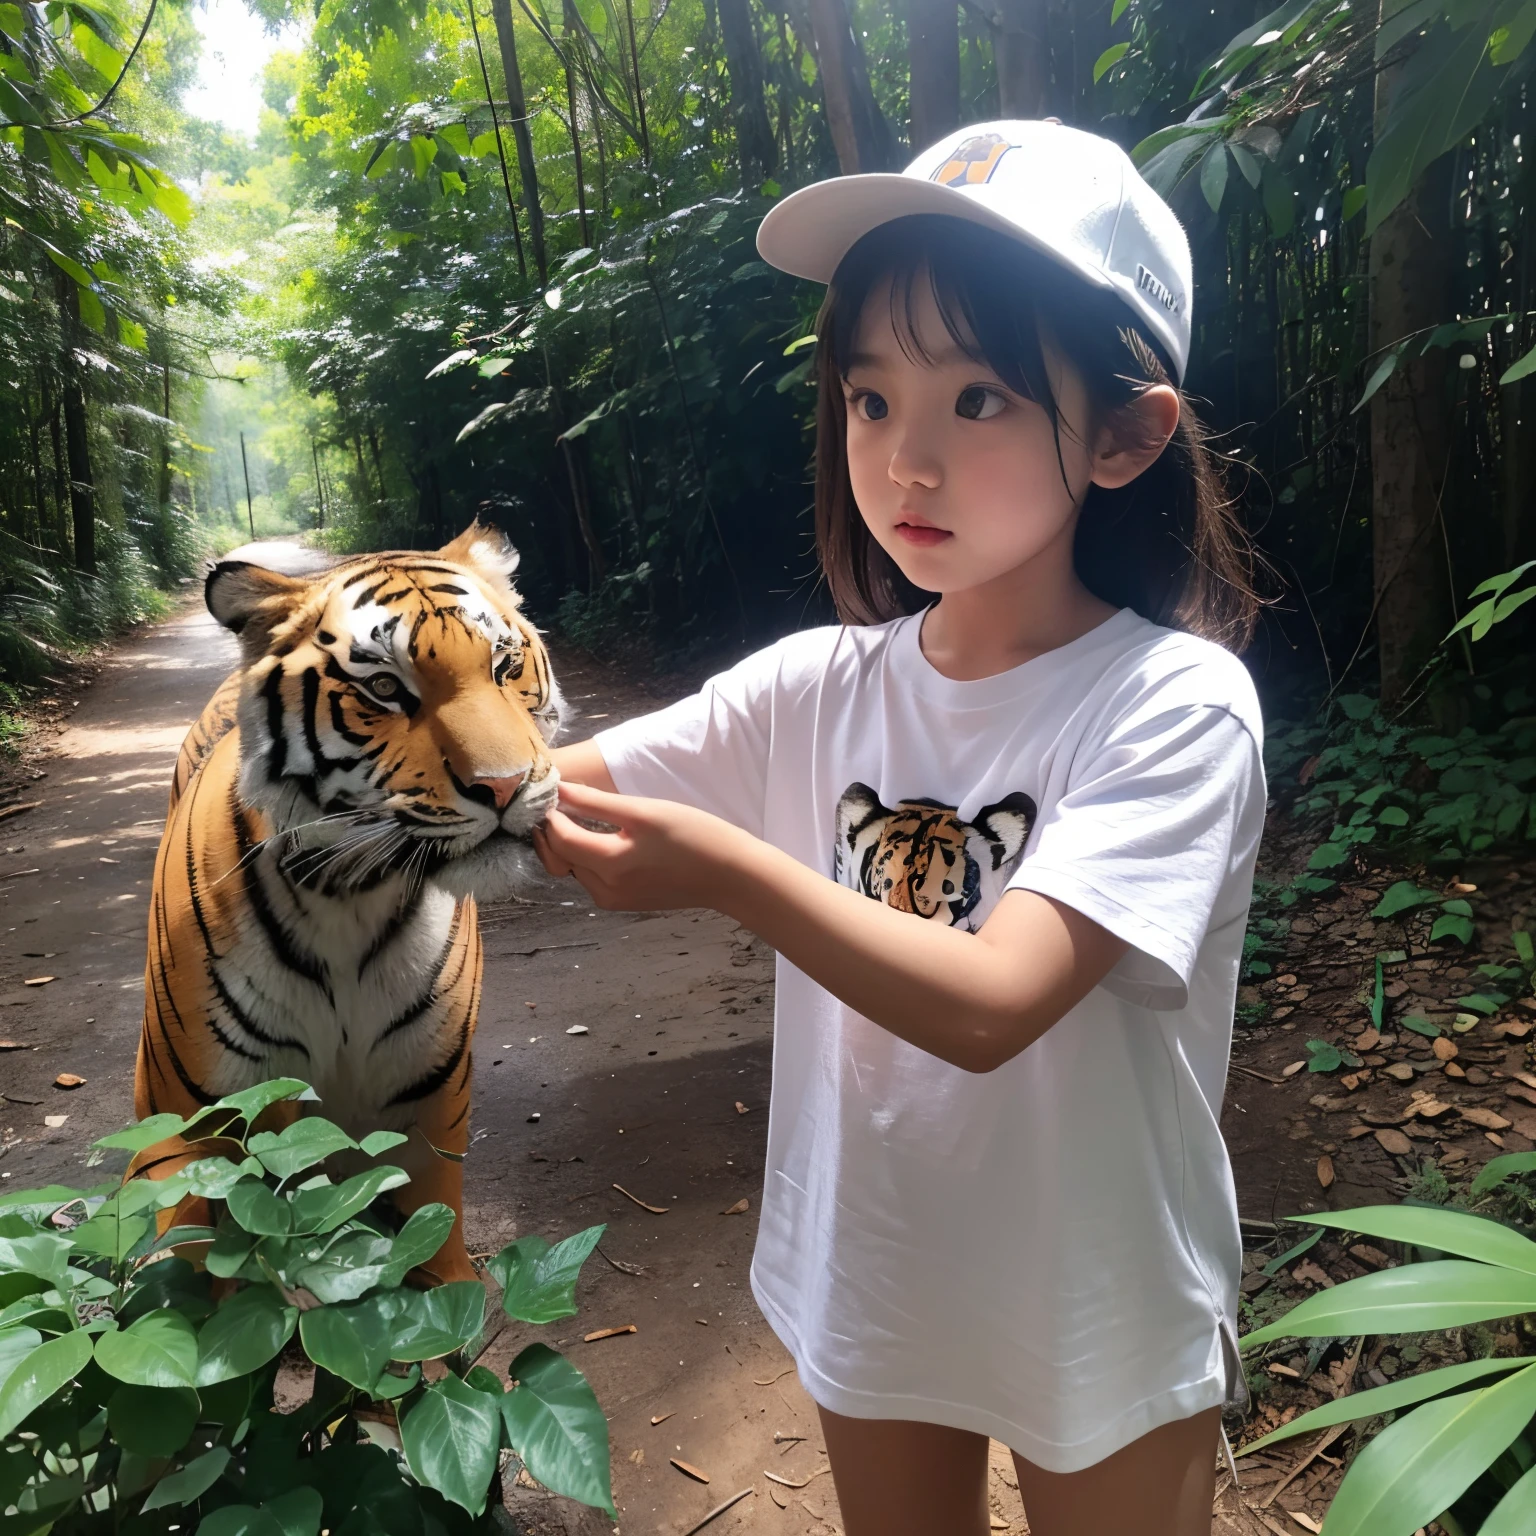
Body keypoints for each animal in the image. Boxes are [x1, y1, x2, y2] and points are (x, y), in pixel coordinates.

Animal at [139, 528, 565, 1284]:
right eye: (386, 689)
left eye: (505, 666)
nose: (507, 785)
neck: (349, 893)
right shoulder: (186, 1130)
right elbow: (196, 1281)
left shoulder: (430, 1112)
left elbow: (441, 1270)